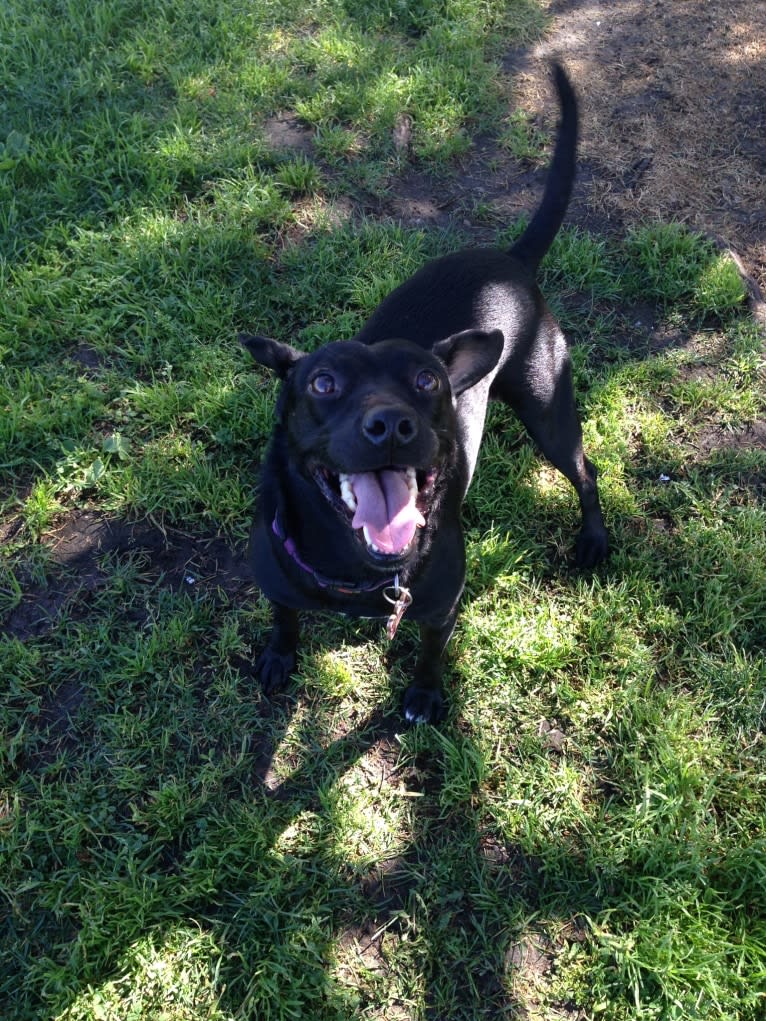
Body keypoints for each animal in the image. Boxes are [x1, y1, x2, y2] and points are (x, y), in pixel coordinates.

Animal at [243, 63, 608, 722]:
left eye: (427, 380)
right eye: (323, 382)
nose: (391, 424)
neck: (358, 569)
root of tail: (510, 261)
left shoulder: (441, 605)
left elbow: (431, 652)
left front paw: (423, 695)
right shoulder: (276, 582)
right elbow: (285, 620)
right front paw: (280, 657)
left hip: (549, 411)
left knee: (585, 471)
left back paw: (593, 539)